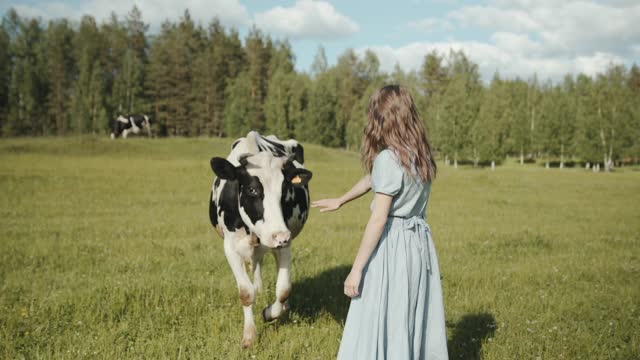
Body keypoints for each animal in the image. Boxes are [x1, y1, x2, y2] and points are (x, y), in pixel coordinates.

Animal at [209, 131, 312, 348]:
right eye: (252, 189)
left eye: (285, 191)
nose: (280, 236)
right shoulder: (230, 247)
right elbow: (246, 293)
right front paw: (249, 335)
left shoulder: (285, 244)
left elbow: (283, 289)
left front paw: (269, 313)